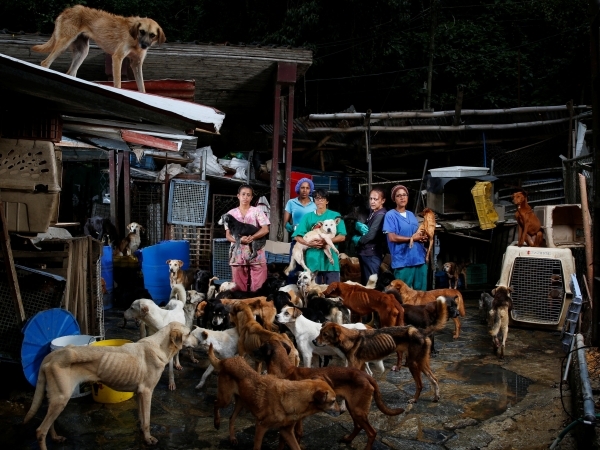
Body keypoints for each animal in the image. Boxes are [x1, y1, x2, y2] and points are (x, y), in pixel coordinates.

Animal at [24, 321, 187, 449]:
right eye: (189, 333)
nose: (196, 331)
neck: (160, 345)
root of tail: (52, 355)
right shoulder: (147, 392)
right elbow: (146, 421)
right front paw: (148, 439)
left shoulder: (140, 393)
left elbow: (142, 417)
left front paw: (142, 433)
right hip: (61, 398)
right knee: (40, 431)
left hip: (55, 397)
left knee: (48, 424)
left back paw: (56, 438)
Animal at [32, 5, 165, 93]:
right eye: (142, 31)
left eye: (152, 35)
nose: (144, 45)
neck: (135, 39)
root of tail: (68, 9)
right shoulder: (117, 57)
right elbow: (118, 83)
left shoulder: (136, 64)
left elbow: (142, 87)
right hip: (63, 44)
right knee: (45, 63)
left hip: (83, 52)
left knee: (70, 73)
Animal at [208, 345, 339, 449]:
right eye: (333, 401)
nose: (341, 411)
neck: (294, 399)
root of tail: (225, 361)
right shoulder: (261, 426)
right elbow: (257, 446)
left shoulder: (287, 432)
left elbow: (295, 447)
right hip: (226, 399)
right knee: (215, 403)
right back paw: (217, 423)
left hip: (241, 402)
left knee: (231, 418)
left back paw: (232, 438)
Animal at [256, 339, 404, 450]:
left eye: (261, 346)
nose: (252, 351)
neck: (285, 370)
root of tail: (366, 375)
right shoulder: (296, 418)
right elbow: (296, 434)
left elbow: (286, 438)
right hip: (353, 407)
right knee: (358, 426)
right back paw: (348, 439)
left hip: (358, 410)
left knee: (372, 433)